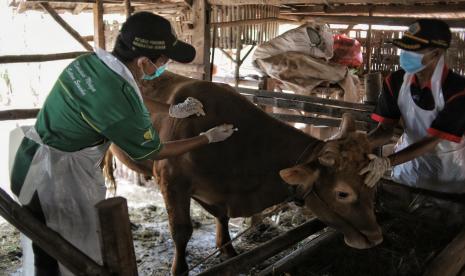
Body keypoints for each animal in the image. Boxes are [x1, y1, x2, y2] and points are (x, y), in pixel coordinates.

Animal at [107, 72, 382, 274]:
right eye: (342, 193)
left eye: (372, 185)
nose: (376, 237)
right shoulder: (171, 183)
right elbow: (182, 231)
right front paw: (180, 270)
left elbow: (222, 217)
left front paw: (227, 250)